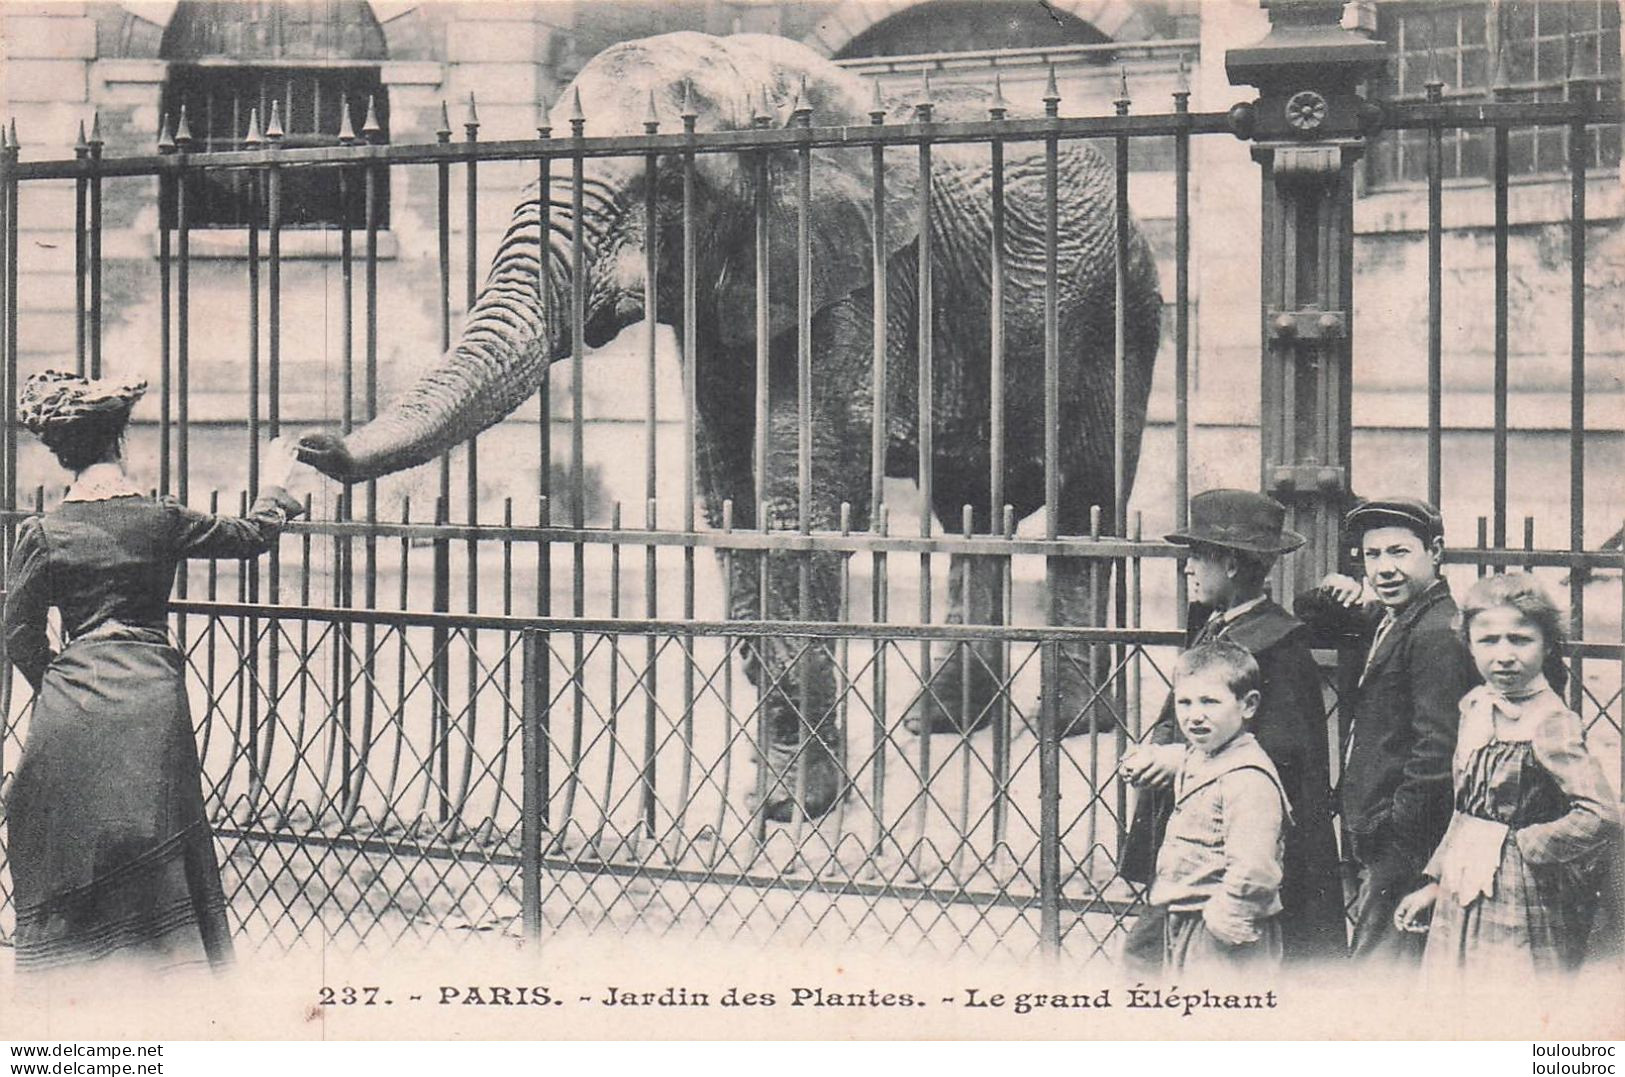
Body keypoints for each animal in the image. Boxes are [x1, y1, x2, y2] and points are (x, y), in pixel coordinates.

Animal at [302, 33, 1170, 825]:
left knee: (1081, 499)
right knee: (970, 510)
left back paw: (1067, 725)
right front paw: (779, 784)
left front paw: (792, 807)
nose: (310, 445)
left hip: (1119, 312)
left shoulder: (858, 281)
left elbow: (800, 495)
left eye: (668, 182)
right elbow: (727, 490)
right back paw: (944, 719)